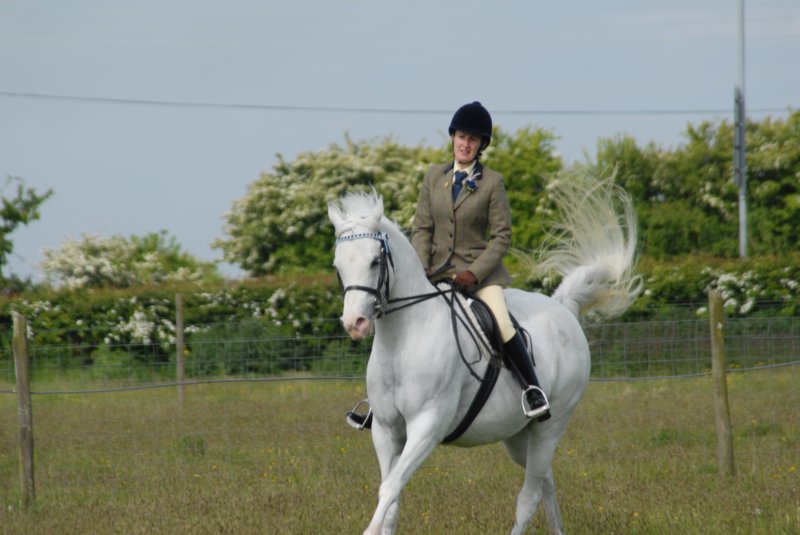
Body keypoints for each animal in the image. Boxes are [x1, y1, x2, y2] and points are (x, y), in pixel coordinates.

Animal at [328, 174, 640, 532]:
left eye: (375, 261)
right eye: (338, 266)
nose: (355, 323)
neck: (403, 340)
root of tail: (563, 309)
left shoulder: (427, 426)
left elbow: (390, 487)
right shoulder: (386, 430)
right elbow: (391, 498)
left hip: (551, 425)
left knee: (529, 496)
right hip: (518, 435)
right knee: (546, 482)